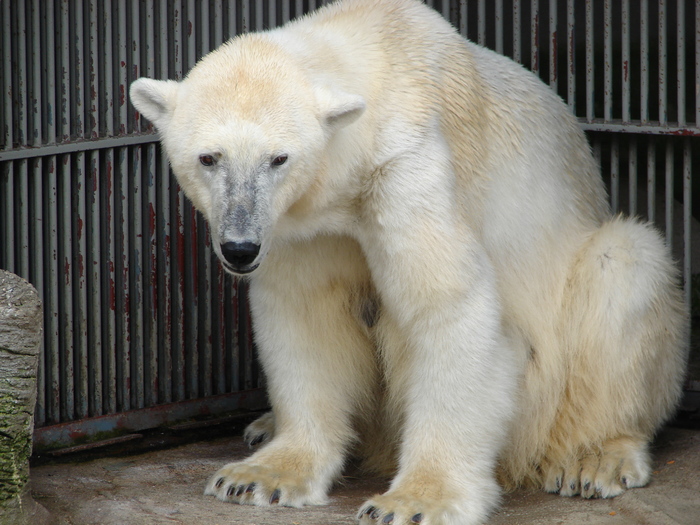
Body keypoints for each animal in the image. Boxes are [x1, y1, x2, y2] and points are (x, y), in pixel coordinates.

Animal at [129, 0, 688, 523]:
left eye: (278, 158)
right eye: (209, 158)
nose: (240, 248)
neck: (384, 52)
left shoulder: (408, 166)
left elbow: (448, 308)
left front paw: (413, 502)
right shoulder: (302, 225)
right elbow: (306, 313)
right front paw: (257, 477)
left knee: (626, 267)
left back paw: (596, 458)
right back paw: (263, 427)